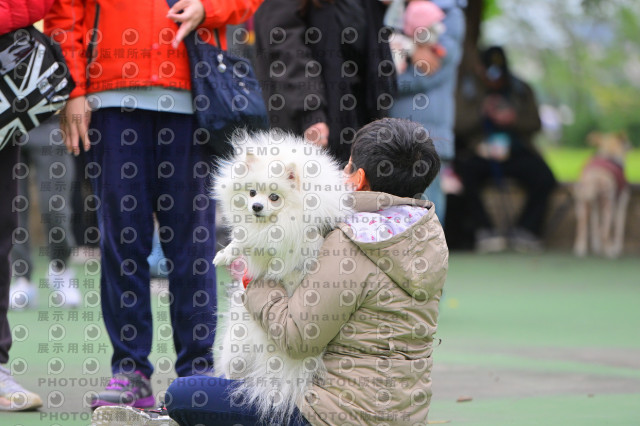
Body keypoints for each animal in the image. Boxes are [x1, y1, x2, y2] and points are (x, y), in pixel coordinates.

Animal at [212, 129, 353, 424]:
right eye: (252, 192)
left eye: (274, 197)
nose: (255, 206)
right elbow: (245, 238)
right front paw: (226, 255)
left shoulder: (296, 234)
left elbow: (273, 244)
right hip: (238, 347)